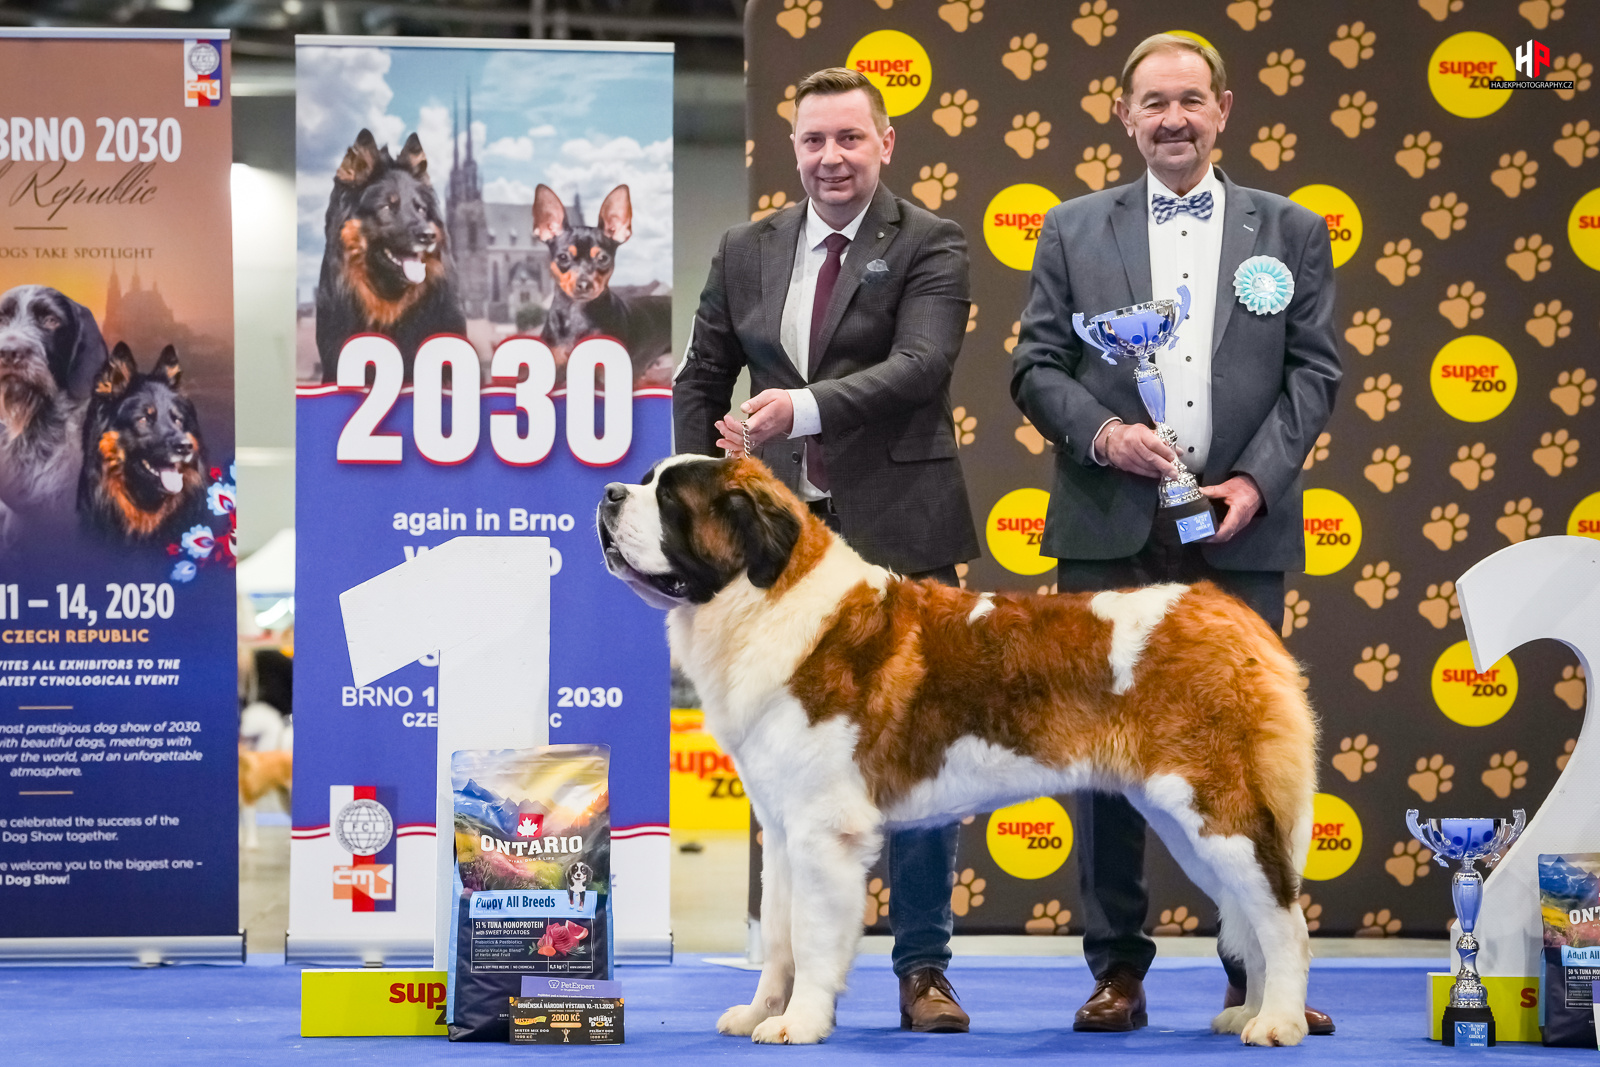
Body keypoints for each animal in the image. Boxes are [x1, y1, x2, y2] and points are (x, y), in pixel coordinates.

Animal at [598, 455, 1318, 1047]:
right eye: (648, 482)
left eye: (670, 498)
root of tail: (1229, 613)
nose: (608, 493)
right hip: (1186, 822)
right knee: (1251, 913)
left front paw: (799, 1023)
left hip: (1214, 809)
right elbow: (777, 934)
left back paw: (1278, 1022)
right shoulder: (781, 830)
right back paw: (1247, 1010)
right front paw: (760, 1011)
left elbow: (810, 934)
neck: (765, 600)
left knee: (1281, 914)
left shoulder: (822, 831)